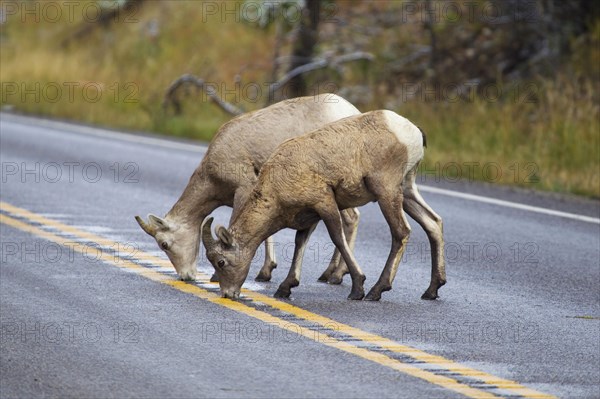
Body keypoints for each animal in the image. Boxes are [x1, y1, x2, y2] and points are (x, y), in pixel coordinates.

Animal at [136, 94, 360, 282]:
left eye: (164, 244)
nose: (186, 276)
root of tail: (353, 111)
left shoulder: (244, 188)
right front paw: (265, 271)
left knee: (350, 219)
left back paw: (336, 275)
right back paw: (331, 274)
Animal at [204, 111, 442, 302]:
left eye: (221, 262)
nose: (228, 294)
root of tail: (412, 132)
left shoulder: (325, 203)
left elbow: (338, 238)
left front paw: (357, 288)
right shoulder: (309, 216)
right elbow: (300, 243)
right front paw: (285, 288)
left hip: (386, 192)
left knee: (401, 232)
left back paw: (376, 291)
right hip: (407, 191)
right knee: (433, 223)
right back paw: (432, 290)